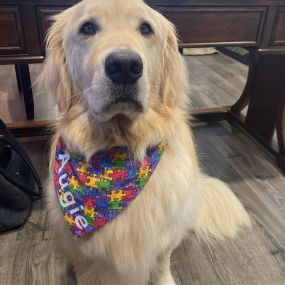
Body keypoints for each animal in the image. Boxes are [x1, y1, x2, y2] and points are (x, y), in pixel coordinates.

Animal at [39, 1, 248, 282]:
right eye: (88, 27)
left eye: (146, 28)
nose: (125, 66)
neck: (120, 151)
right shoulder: (80, 252)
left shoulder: (164, 238)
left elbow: (161, 264)